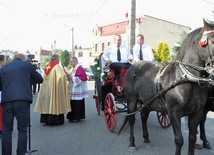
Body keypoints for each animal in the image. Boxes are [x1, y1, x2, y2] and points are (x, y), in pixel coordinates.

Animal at [118, 19, 214, 155]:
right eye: (212, 40)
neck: (186, 77)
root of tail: (134, 66)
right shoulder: (174, 113)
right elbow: (179, 140)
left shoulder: (196, 113)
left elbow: (191, 138)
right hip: (131, 98)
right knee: (131, 119)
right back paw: (132, 143)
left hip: (149, 101)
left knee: (144, 115)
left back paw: (146, 139)